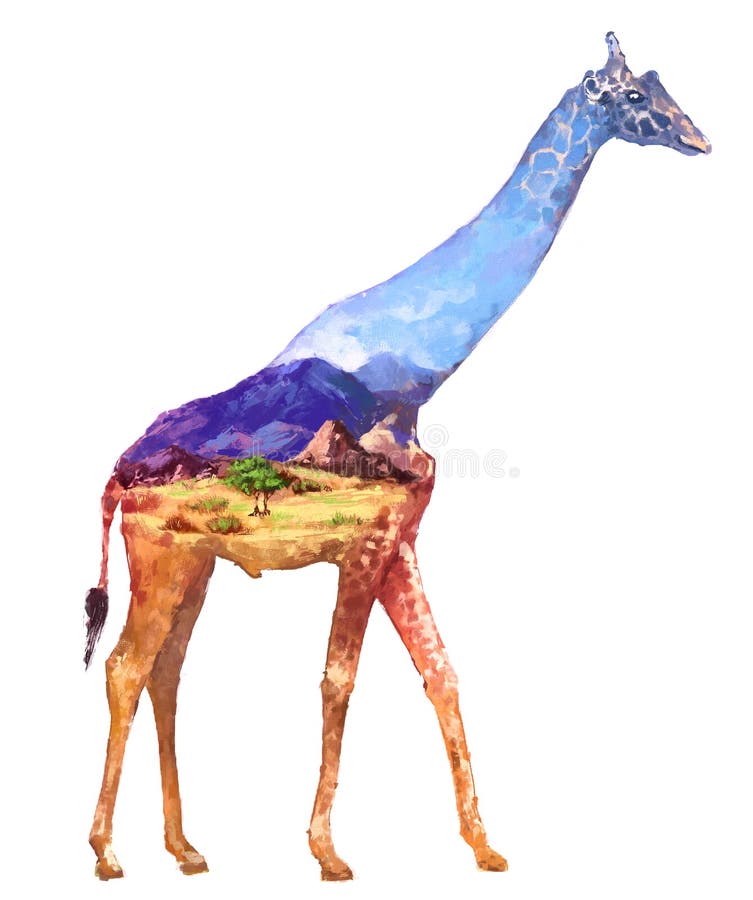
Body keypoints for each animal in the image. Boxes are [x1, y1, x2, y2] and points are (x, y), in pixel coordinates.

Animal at [85, 33, 710, 881]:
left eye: (660, 87)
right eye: (634, 97)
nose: (698, 137)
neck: (408, 370)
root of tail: (116, 478)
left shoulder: (402, 538)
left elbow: (440, 669)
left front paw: (484, 846)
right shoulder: (366, 539)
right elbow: (338, 678)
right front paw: (327, 853)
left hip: (195, 562)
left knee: (166, 667)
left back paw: (184, 849)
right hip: (159, 555)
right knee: (125, 667)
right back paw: (107, 854)